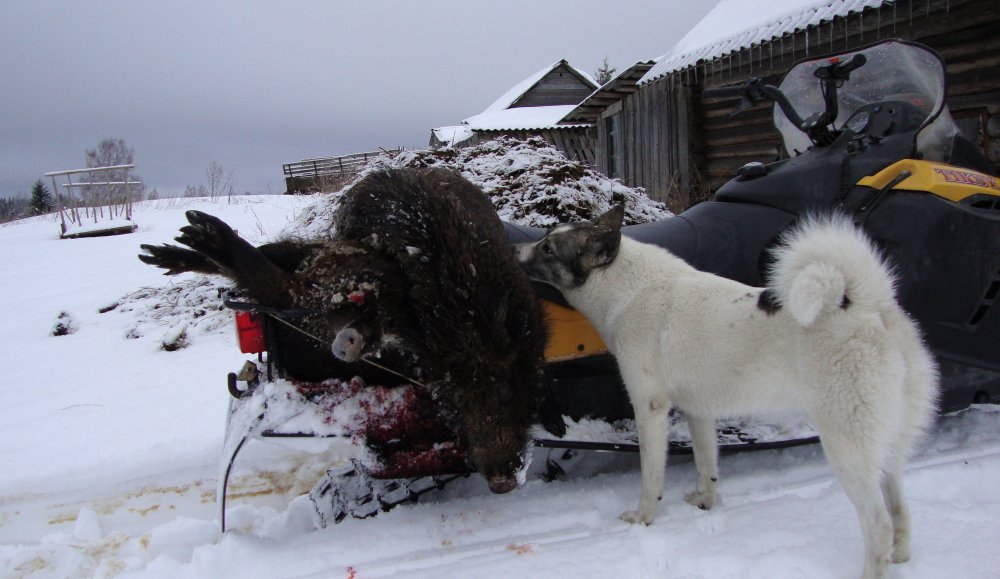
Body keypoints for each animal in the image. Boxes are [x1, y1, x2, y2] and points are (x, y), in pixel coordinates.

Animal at [515, 205, 938, 579]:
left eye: (548, 248)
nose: (515, 250)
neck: (627, 286)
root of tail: (870, 306)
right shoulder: (698, 412)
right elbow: (707, 464)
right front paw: (705, 502)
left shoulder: (650, 408)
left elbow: (652, 476)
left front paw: (644, 519)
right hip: (886, 446)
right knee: (900, 508)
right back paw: (900, 557)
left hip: (846, 447)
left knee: (879, 523)